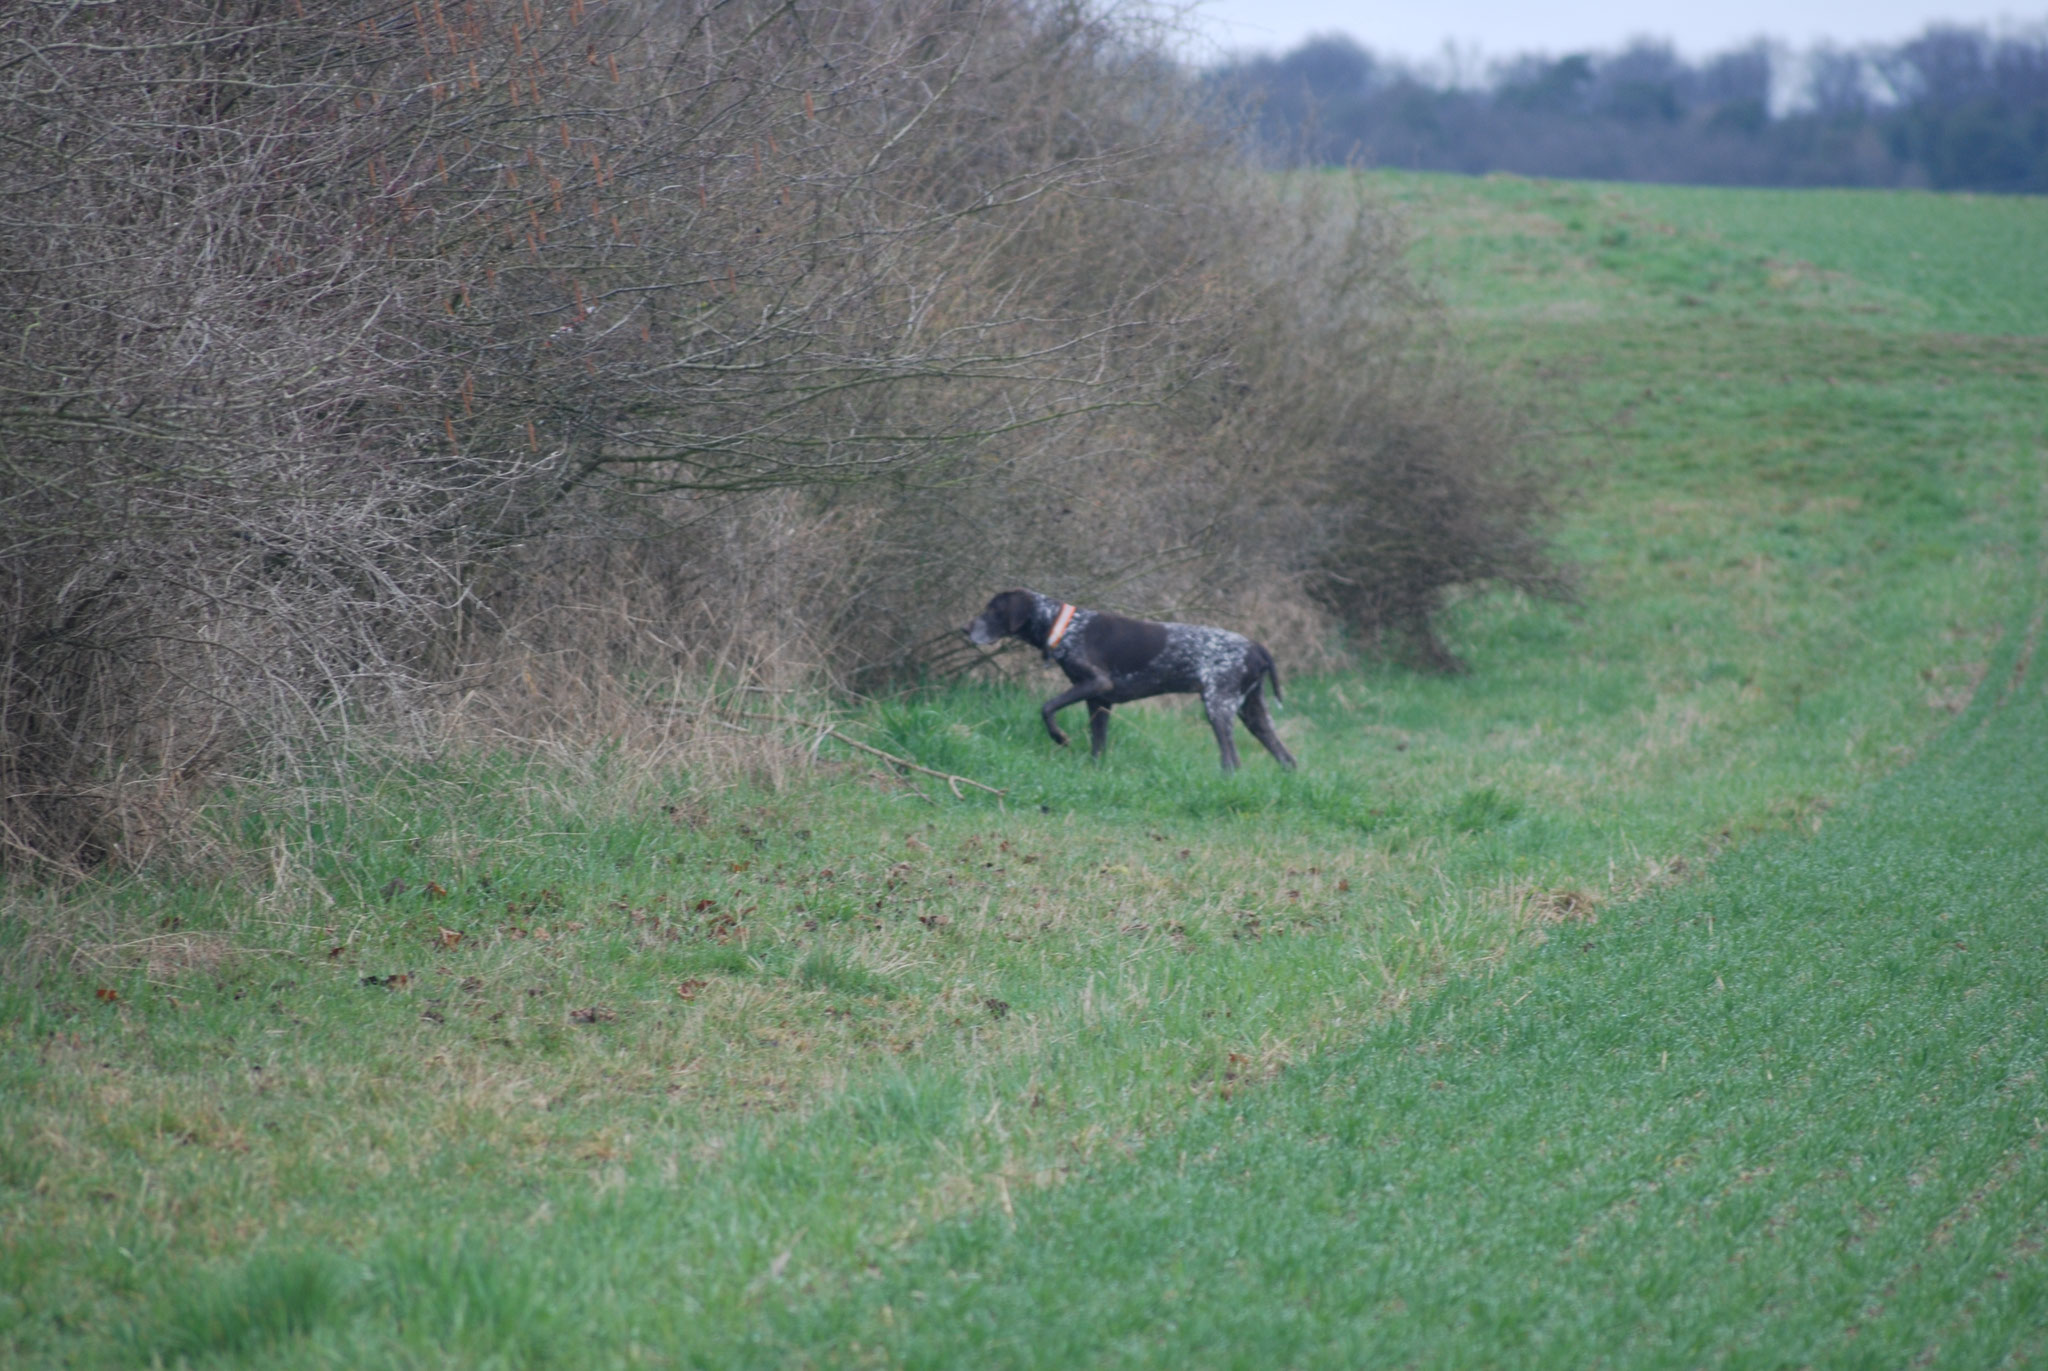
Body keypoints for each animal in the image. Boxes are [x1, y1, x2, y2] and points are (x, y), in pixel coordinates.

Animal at [962, 590, 1294, 770]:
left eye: (992, 609)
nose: (965, 629)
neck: (1063, 625)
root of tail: (1256, 646)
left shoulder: (1096, 684)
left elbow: (1046, 707)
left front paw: (1059, 737)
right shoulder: (1099, 701)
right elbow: (1098, 746)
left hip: (1218, 706)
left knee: (1232, 760)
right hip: (1252, 713)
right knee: (1287, 759)